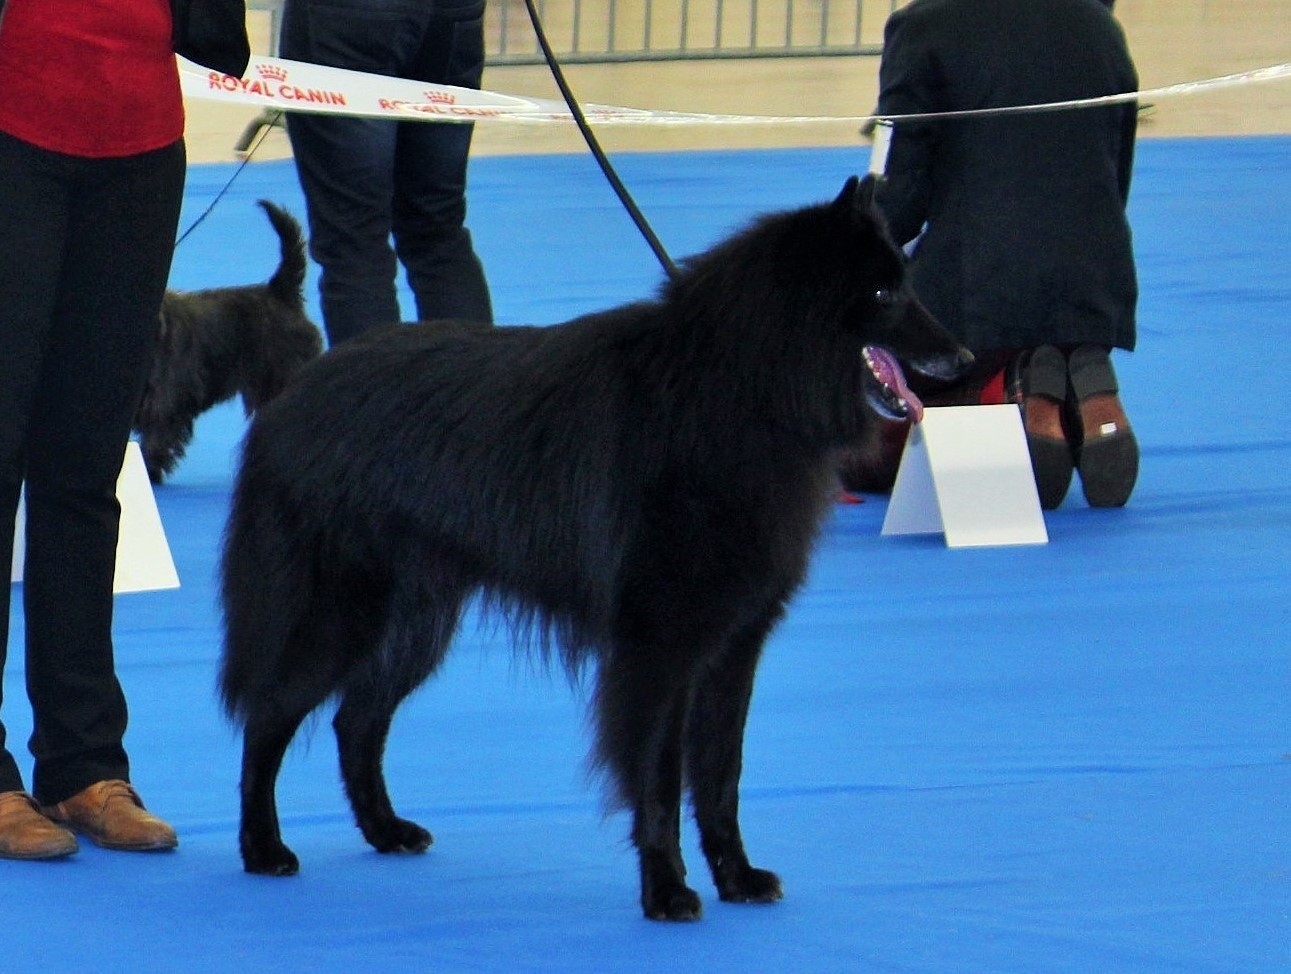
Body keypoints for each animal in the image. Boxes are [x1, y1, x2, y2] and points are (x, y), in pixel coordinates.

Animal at [219, 176, 970, 919]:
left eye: (903, 283)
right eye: (884, 293)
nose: (961, 358)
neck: (738, 386)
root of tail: (296, 391)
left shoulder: (732, 646)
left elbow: (720, 776)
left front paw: (736, 878)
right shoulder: (659, 649)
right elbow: (660, 780)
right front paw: (666, 889)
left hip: (415, 623)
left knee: (356, 721)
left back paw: (385, 831)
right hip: (338, 616)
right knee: (268, 718)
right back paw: (263, 848)